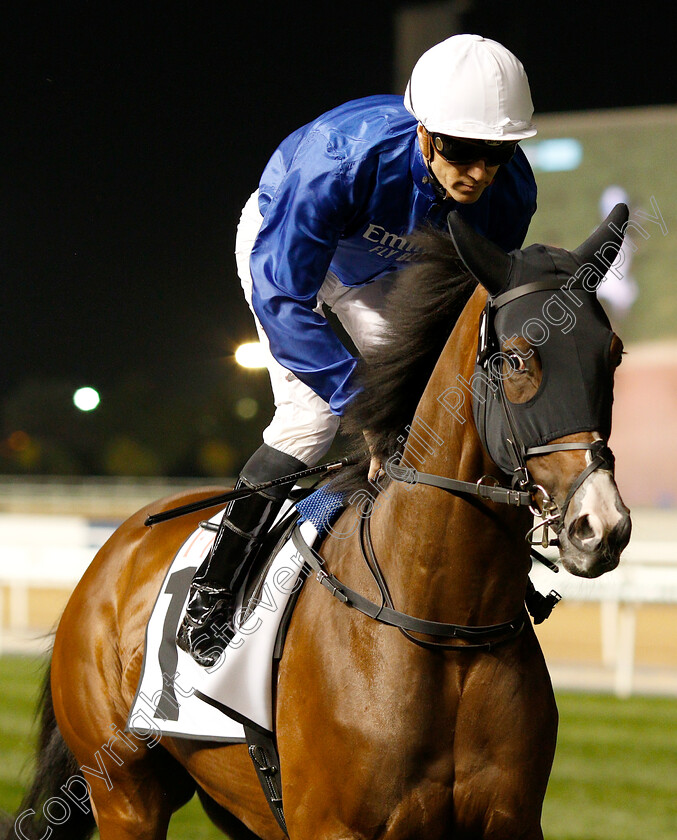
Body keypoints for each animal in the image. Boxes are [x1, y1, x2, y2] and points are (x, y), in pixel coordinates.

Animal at [2, 205, 632, 840]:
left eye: (614, 354)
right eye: (519, 357)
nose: (601, 525)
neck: (448, 626)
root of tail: (117, 548)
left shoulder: (511, 820)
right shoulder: (332, 826)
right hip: (127, 796)